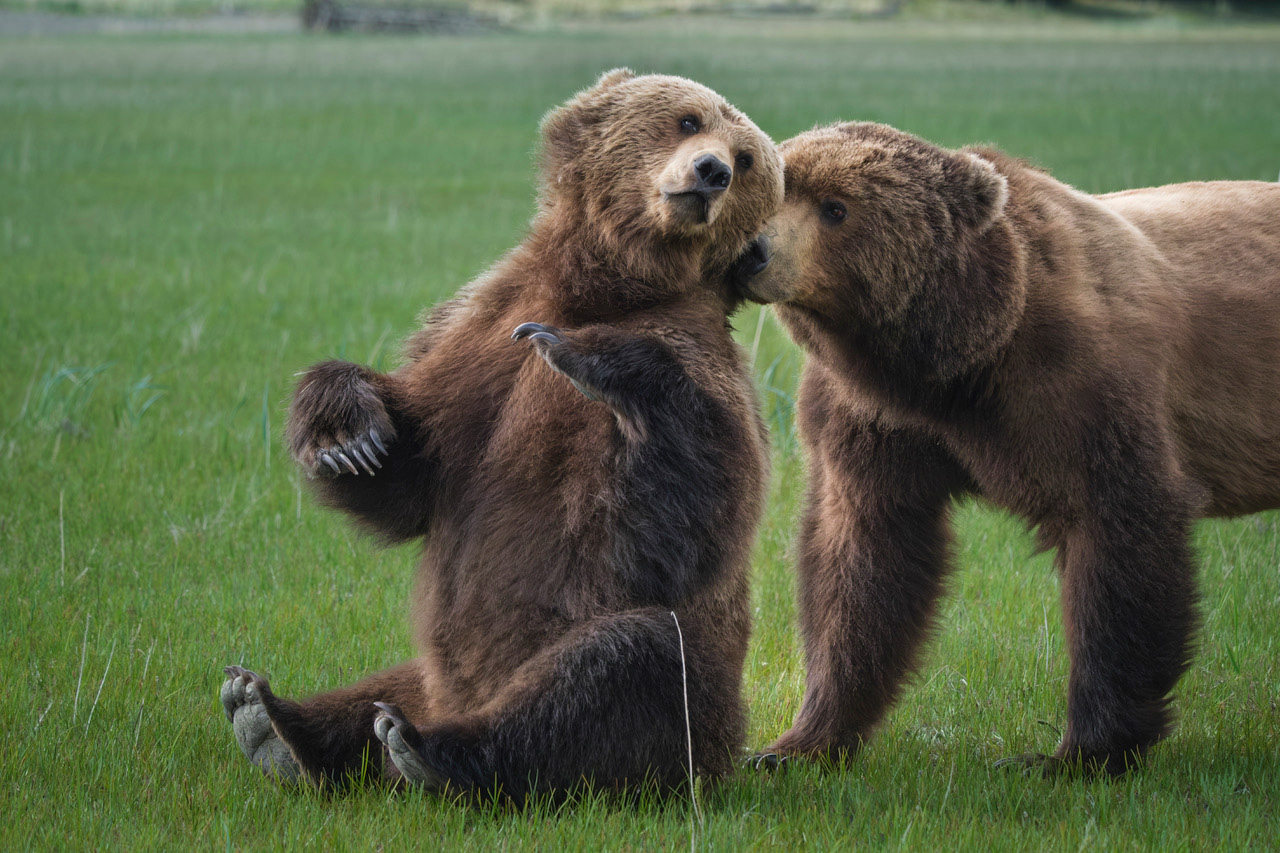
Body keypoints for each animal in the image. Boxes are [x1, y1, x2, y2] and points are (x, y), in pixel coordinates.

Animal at [218, 69, 784, 800]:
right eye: (688, 119)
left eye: (747, 160)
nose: (713, 171)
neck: (605, 285)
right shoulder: (475, 333)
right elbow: (408, 478)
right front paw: (348, 432)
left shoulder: (709, 371)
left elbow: (675, 536)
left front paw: (593, 359)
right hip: (431, 676)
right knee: (373, 688)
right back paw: (271, 718)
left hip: (693, 707)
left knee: (624, 663)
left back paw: (431, 751)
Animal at [733, 120, 1280, 775]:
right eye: (775, 183)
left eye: (835, 207)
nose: (751, 251)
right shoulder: (870, 417)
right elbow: (864, 559)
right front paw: (797, 744)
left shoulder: (1077, 388)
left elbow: (1119, 538)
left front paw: (1076, 752)